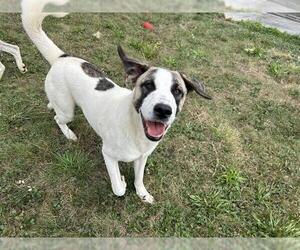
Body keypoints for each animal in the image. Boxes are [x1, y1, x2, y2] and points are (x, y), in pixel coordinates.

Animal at [21, 0, 211, 203]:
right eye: (148, 85)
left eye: (177, 91)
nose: (163, 110)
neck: (135, 130)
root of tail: (61, 58)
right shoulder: (108, 155)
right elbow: (118, 189)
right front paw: (122, 181)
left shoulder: (142, 157)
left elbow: (139, 178)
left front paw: (142, 193)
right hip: (67, 111)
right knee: (58, 119)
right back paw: (68, 134)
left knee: (53, 106)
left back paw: (51, 106)